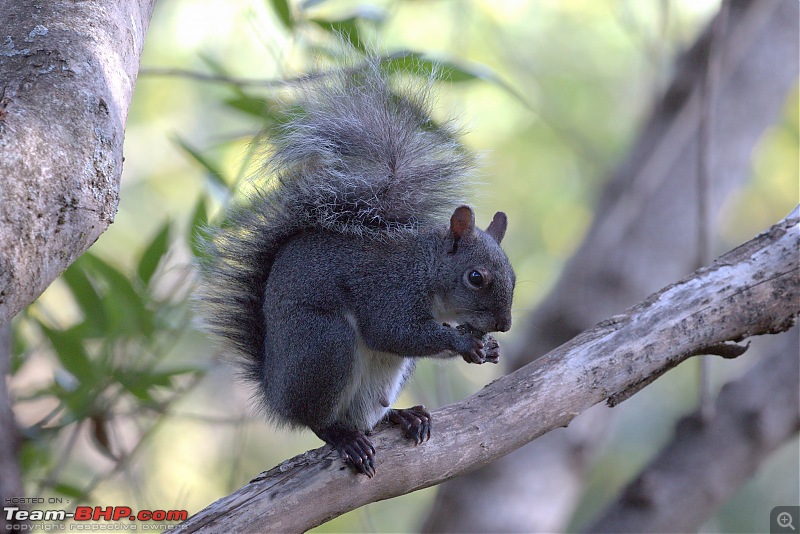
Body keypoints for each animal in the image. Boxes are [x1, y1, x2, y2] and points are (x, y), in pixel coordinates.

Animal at [197, 56, 516, 480]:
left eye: (513, 277)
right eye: (476, 278)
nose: (504, 325)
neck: (426, 270)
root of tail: (275, 391)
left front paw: (489, 348)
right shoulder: (388, 291)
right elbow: (391, 332)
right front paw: (465, 343)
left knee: (369, 414)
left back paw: (400, 417)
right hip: (325, 346)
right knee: (318, 420)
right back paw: (343, 437)